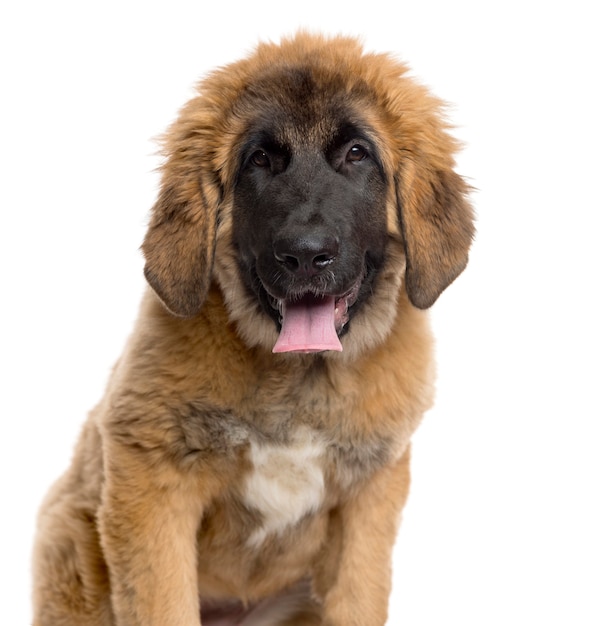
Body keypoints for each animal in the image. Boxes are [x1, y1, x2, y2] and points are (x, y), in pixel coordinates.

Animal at [31, 33, 476, 624]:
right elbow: (162, 602)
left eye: (357, 154)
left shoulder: (368, 503)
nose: (306, 255)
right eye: (260, 159)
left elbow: (357, 596)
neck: (297, 379)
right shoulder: (151, 481)